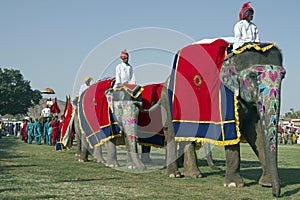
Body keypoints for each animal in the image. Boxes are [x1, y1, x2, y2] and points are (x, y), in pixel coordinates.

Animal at [158, 39, 284, 197]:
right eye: (253, 76)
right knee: (171, 133)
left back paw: (194, 175)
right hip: (167, 102)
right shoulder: (224, 95)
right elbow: (232, 133)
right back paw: (174, 175)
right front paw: (234, 185)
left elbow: (256, 132)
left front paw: (266, 184)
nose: (276, 194)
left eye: (283, 76)